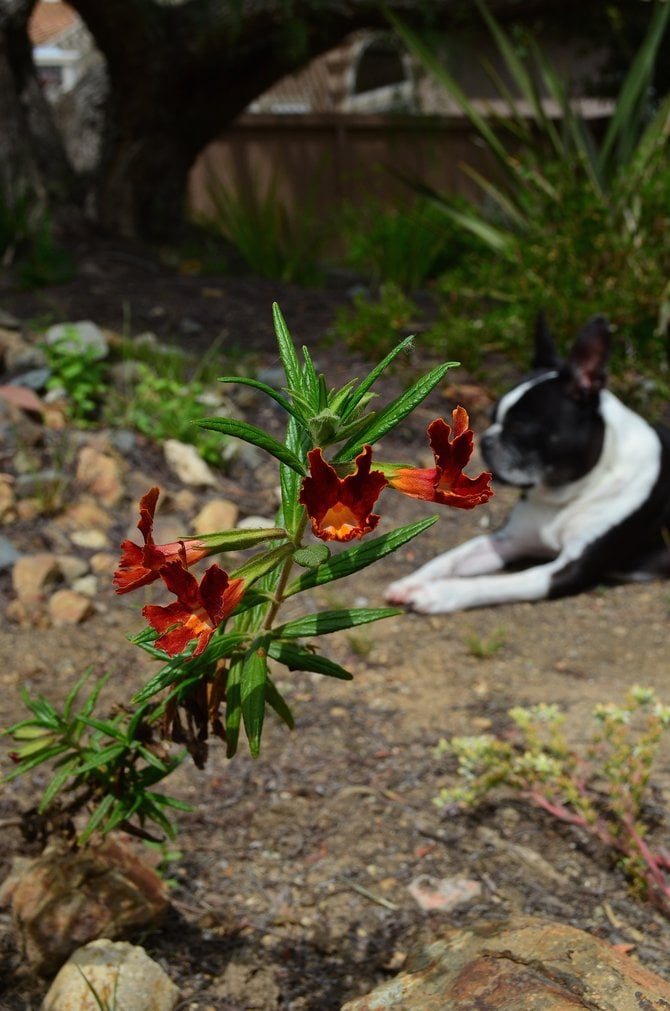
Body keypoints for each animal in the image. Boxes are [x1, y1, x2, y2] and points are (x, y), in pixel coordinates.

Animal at [381, 313, 670, 614]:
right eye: (492, 417)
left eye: (518, 428)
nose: (487, 440)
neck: (572, 490)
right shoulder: (510, 540)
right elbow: (455, 555)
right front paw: (414, 581)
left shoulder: (570, 570)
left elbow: (492, 583)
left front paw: (436, 593)